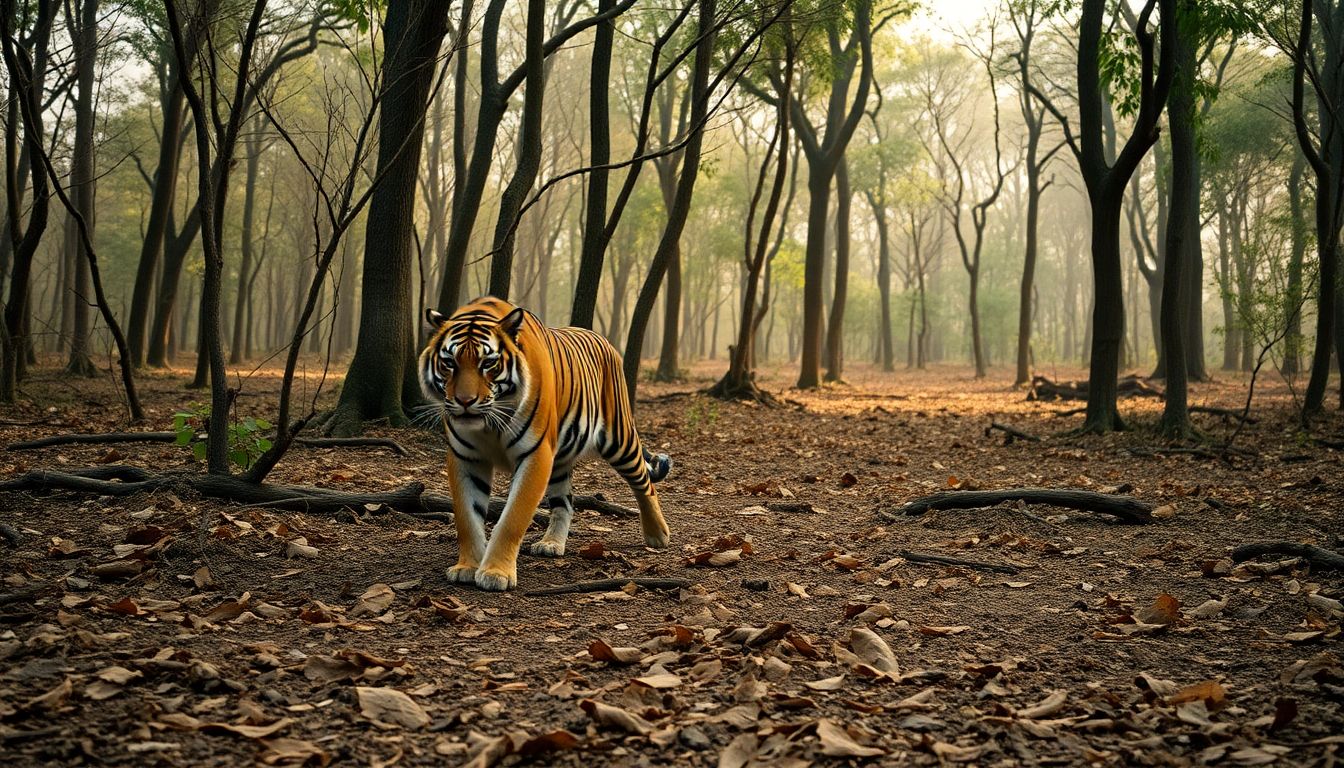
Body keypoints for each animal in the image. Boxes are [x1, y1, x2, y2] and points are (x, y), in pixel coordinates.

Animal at [418, 296, 672, 591]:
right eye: (449, 362)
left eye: (488, 363)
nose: (464, 401)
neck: (489, 424)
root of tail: (604, 340)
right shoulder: (465, 457)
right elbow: (467, 518)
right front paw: (467, 567)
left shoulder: (535, 454)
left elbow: (512, 518)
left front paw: (496, 573)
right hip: (561, 459)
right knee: (565, 502)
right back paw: (551, 544)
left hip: (619, 439)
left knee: (644, 481)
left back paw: (657, 535)